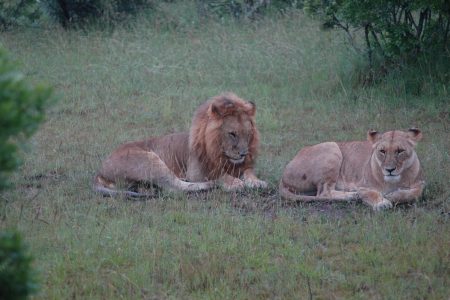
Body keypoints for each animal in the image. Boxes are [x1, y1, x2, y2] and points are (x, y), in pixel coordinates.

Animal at [92, 93, 266, 197]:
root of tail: (100, 171)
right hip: (149, 161)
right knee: (176, 187)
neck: (220, 153)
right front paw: (234, 182)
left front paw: (257, 182)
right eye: (232, 134)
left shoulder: (242, 166)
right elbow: (221, 175)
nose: (244, 154)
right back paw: (214, 185)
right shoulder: (196, 171)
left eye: (248, 134)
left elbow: (249, 173)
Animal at [280, 129, 424, 211]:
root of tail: (282, 177)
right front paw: (382, 203)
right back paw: (352, 195)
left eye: (400, 151)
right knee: (323, 193)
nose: (389, 169)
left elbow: (414, 193)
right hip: (332, 147)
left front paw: (392, 196)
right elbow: (372, 193)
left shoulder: (420, 183)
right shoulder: (363, 186)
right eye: (382, 151)